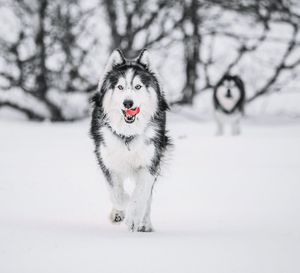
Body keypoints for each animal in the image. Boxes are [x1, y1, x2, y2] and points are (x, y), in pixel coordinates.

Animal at [90, 49, 170, 232]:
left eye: (138, 86)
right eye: (120, 87)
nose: (128, 103)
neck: (128, 134)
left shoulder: (150, 161)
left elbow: (141, 194)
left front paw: (134, 217)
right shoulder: (106, 160)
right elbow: (117, 193)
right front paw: (124, 205)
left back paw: (144, 223)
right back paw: (118, 213)